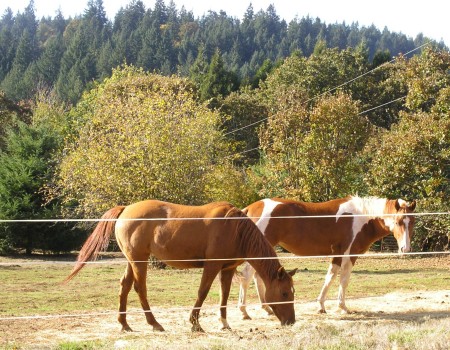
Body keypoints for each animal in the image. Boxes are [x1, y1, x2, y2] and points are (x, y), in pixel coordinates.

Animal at [63, 201, 296, 332]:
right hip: (139, 260)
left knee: (125, 286)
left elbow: (224, 295)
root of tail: (126, 209)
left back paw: (124, 324)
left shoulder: (227, 269)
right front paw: (195, 323)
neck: (235, 228)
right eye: (285, 293)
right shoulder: (211, 267)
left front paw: (224, 323)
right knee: (140, 288)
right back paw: (154, 323)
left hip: (132, 260)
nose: (291, 322)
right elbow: (202, 293)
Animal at [237, 196, 416, 318]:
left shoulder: (337, 255)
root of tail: (250, 208)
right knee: (246, 276)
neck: (361, 218)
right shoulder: (349, 255)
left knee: (257, 276)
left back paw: (266, 308)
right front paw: (342, 307)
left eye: (412, 222)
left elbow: (330, 277)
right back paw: (244, 311)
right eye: (398, 221)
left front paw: (321, 306)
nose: (405, 249)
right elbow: (343, 280)